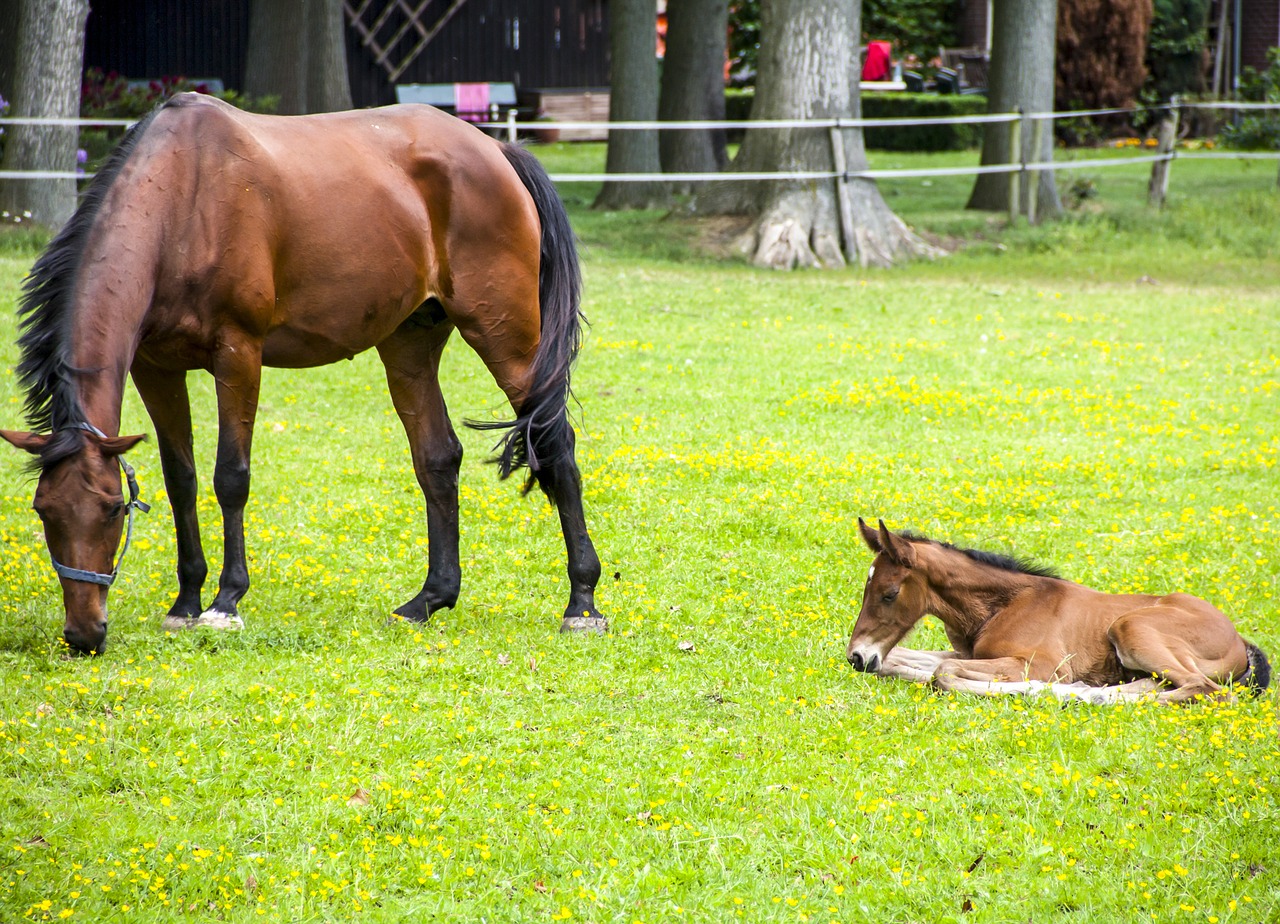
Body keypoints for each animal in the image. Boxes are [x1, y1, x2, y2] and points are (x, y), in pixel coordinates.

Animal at [1, 93, 604, 652]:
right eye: (43, 512)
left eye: (110, 511)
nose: (83, 635)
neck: (183, 198)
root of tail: (496, 151)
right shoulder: (157, 368)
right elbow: (181, 480)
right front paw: (186, 601)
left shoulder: (238, 354)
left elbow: (230, 476)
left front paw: (225, 601)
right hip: (409, 344)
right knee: (437, 458)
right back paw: (429, 600)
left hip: (504, 336)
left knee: (556, 443)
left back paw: (582, 604)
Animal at [839, 514, 1269, 701]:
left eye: (889, 593)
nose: (857, 657)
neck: (1003, 605)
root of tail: (1239, 641)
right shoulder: (970, 653)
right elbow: (906, 662)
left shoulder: (1038, 663)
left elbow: (941, 674)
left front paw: (1034, 689)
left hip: (1130, 628)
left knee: (1206, 689)